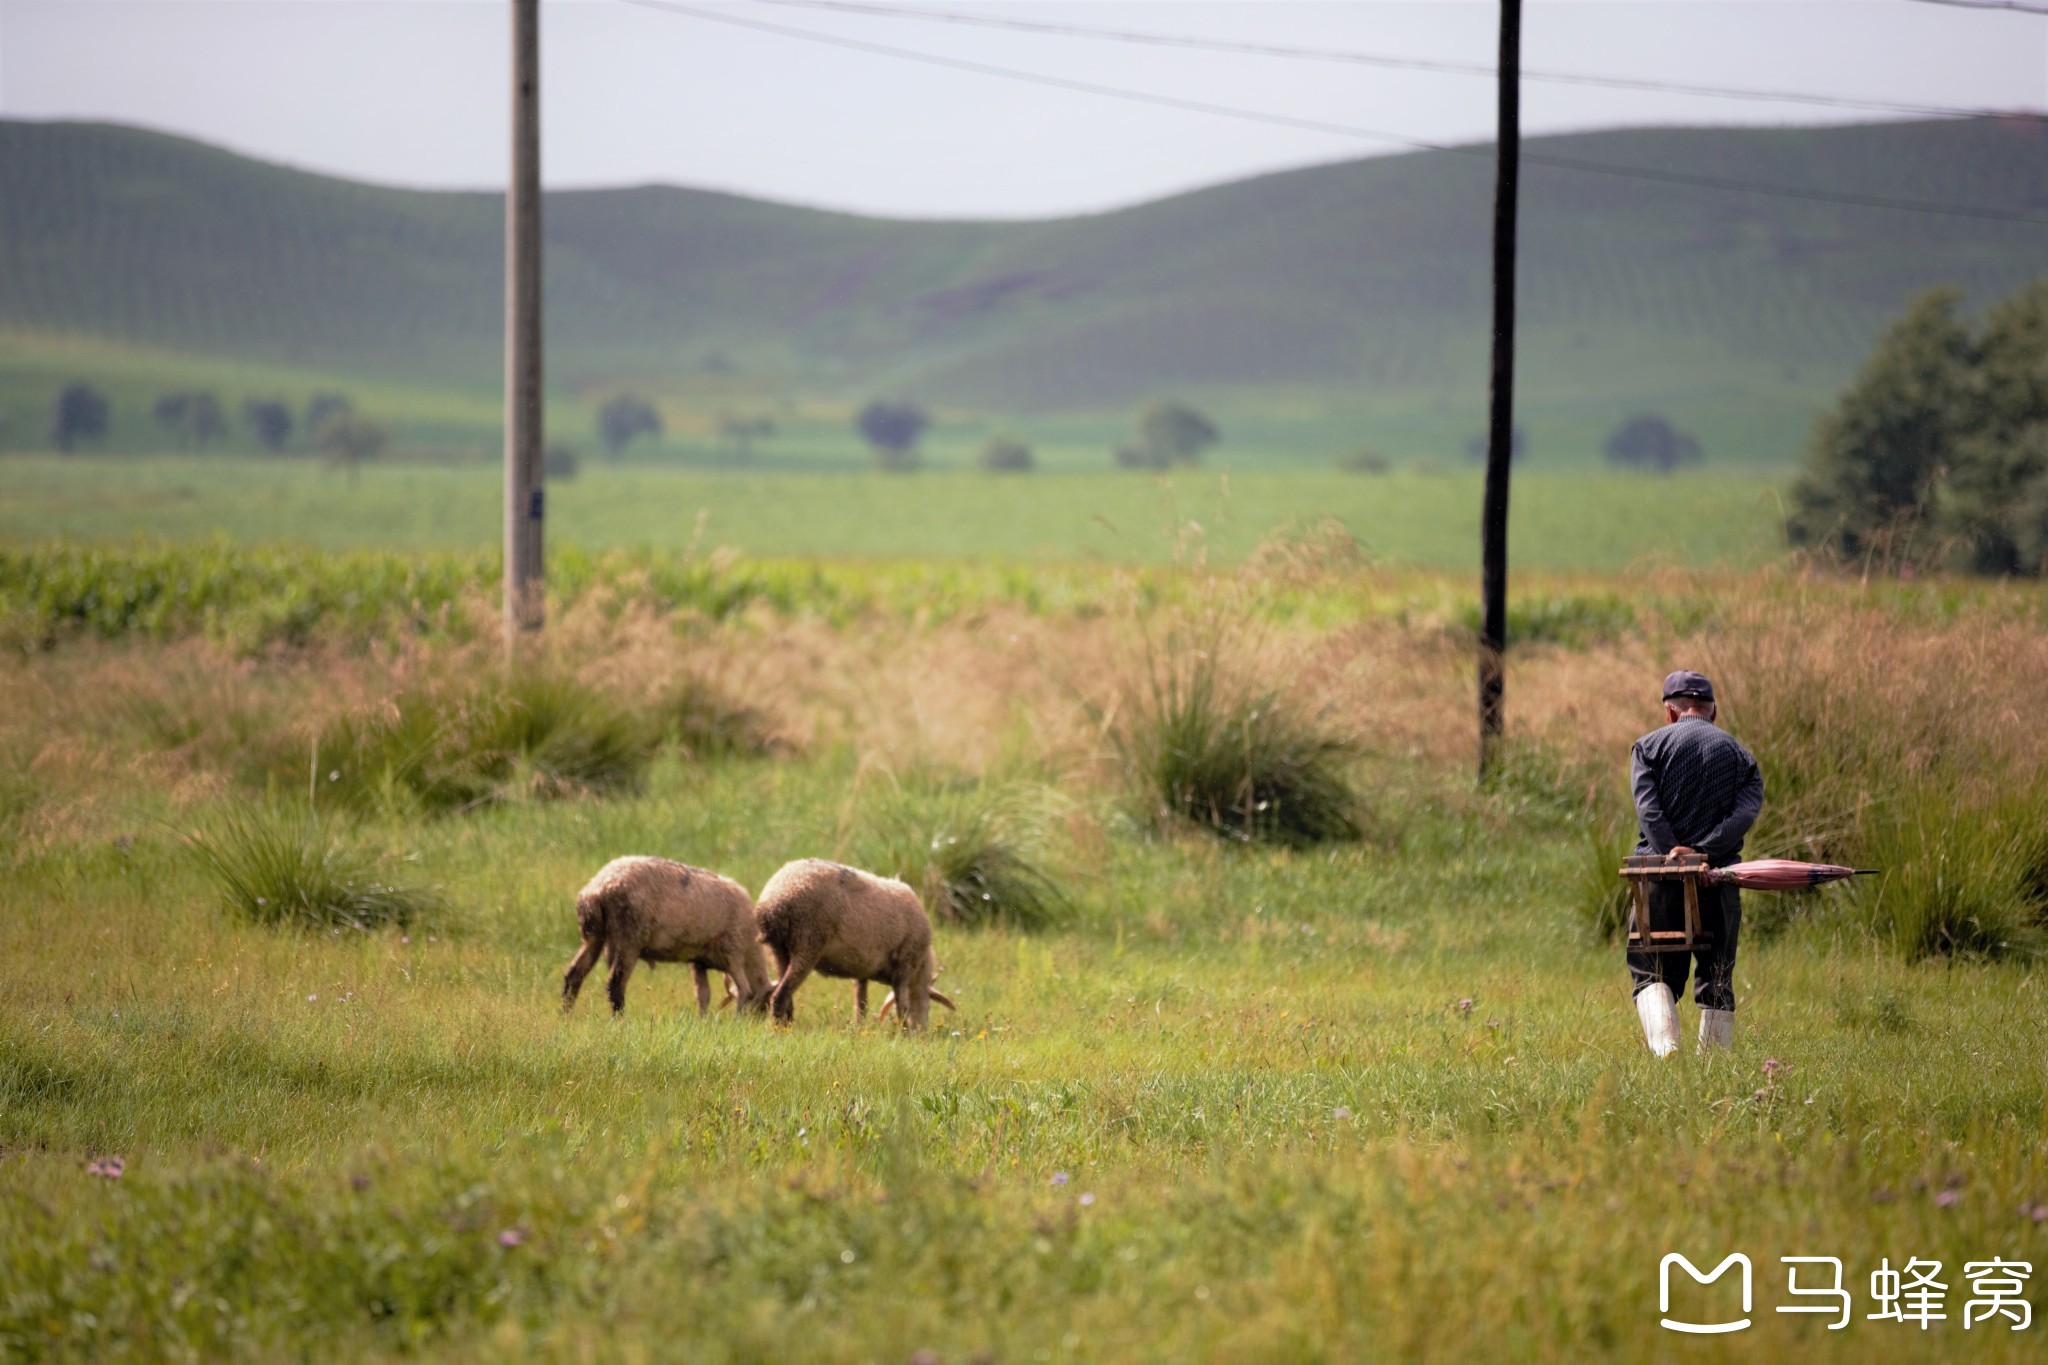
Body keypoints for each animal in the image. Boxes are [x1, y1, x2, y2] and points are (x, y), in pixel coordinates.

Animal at [565, 855, 770, 1015]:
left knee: (574, 974)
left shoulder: (698, 961)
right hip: (628, 938)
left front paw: (703, 1022)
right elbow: (744, 990)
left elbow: (703, 994)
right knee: (615, 983)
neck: (752, 951)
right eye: (766, 1005)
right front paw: (738, 1021)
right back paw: (620, 1021)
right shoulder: (732, 952)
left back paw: (567, 1017)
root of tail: (598, 887)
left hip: (594, 934)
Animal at [753, 859, 942, 1031]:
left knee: (787, 997)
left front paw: (858, 1031)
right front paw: (904, 1034)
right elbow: (902, 1008)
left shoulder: (863, 971)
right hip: (808, 944)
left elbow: (861, 1005)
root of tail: (774, 900)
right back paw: (780, 1031)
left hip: (779, 951)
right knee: (780, 996)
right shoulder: (904, 968)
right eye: (930, 1007)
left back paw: (788, 1027)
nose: (922, 1032)